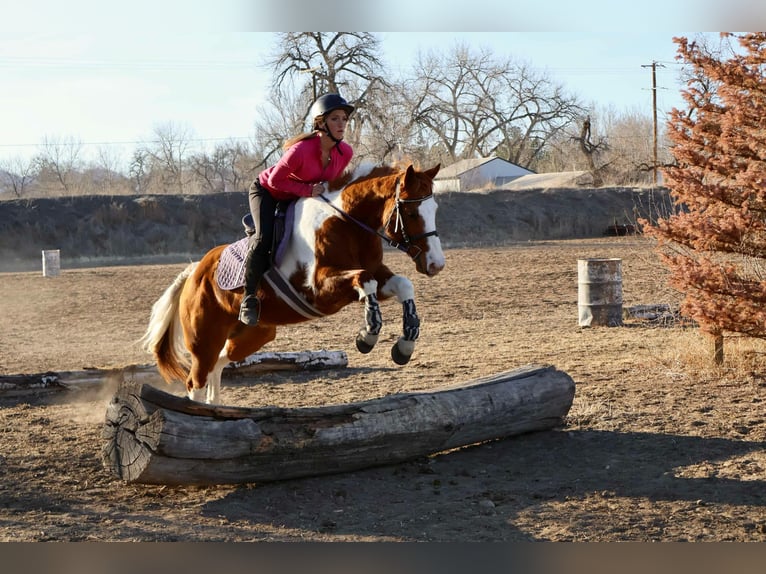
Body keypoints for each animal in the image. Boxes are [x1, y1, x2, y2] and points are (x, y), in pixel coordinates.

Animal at [141, 162, 448, 404]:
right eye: (411, 214)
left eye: (434, 209)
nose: (436, 265)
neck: (348, 224)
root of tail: (194, 272)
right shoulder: (320, 290)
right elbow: (365, 280)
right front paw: (367, 336)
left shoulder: (376, 274)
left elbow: (402, 284)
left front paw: (404, 346)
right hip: (204, 338)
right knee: (197, 380)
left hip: (253, 336)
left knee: (218, 365)